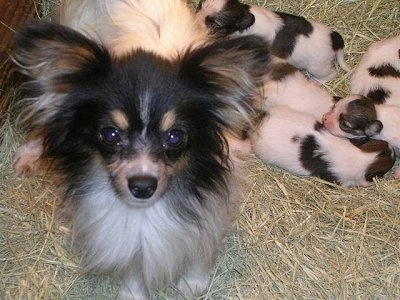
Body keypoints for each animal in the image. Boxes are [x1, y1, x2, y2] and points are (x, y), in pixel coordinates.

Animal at [12, 0, 270, 300]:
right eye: (110, 135)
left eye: (175, 136)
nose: (143, 186)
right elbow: (134, 256)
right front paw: (134, 291)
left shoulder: (216, 198)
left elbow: (203, 239)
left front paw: (193, 280)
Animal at [197, 0, 350, 82]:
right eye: (199, 5)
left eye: (215, 24)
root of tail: (336, 39)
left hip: (318, 67)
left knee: (332, 73)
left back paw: (316, 81)